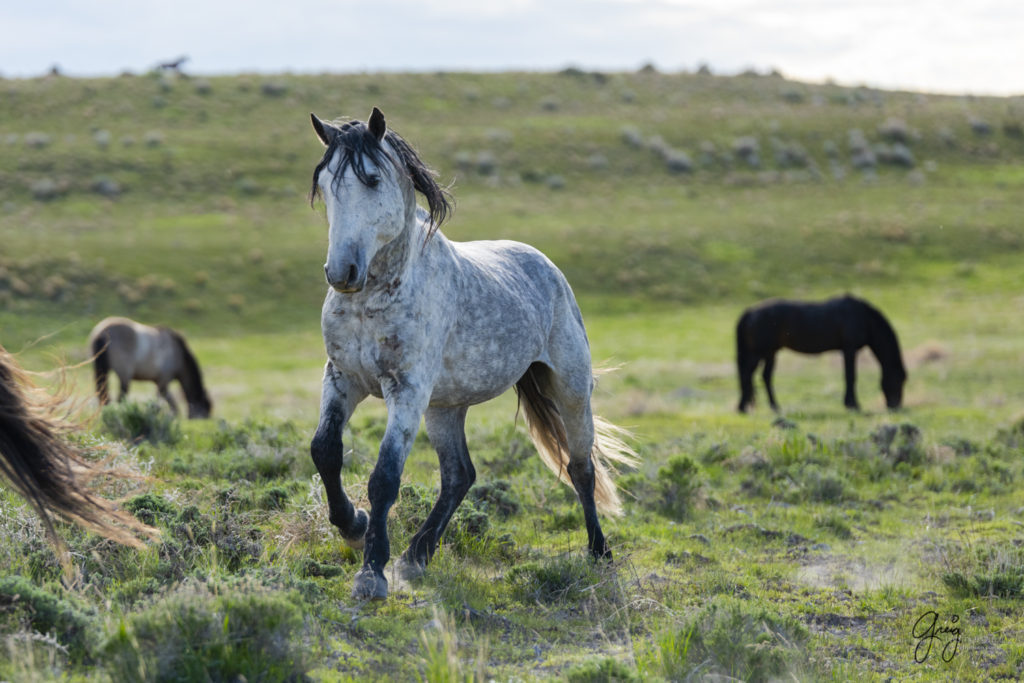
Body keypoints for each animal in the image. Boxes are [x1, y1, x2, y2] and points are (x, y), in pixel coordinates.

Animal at [307, 105, 634, 598]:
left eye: (372, 180)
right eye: (325, 184)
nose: (341, 271)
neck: (375, 298)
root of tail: (546, 265)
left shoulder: (406, 390)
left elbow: (385, 476)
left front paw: (371, 572)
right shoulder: (342, 378)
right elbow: (325, 451)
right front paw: (353, 525)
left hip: (571, 391)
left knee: (580, 466)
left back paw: (599, 552)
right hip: (445, 407)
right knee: (460, 475)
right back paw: (416, 557)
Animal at [737, 294, 905, 411]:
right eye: (899, 380)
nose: (895, 406)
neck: (863, 317)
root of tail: (750, 311)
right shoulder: (849, 349)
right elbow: (850, 376)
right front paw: (853, 404)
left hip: (770, 353)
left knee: (764, 377)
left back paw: (771, 406)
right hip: (759, 352)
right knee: (747, 375)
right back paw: (746, 407)